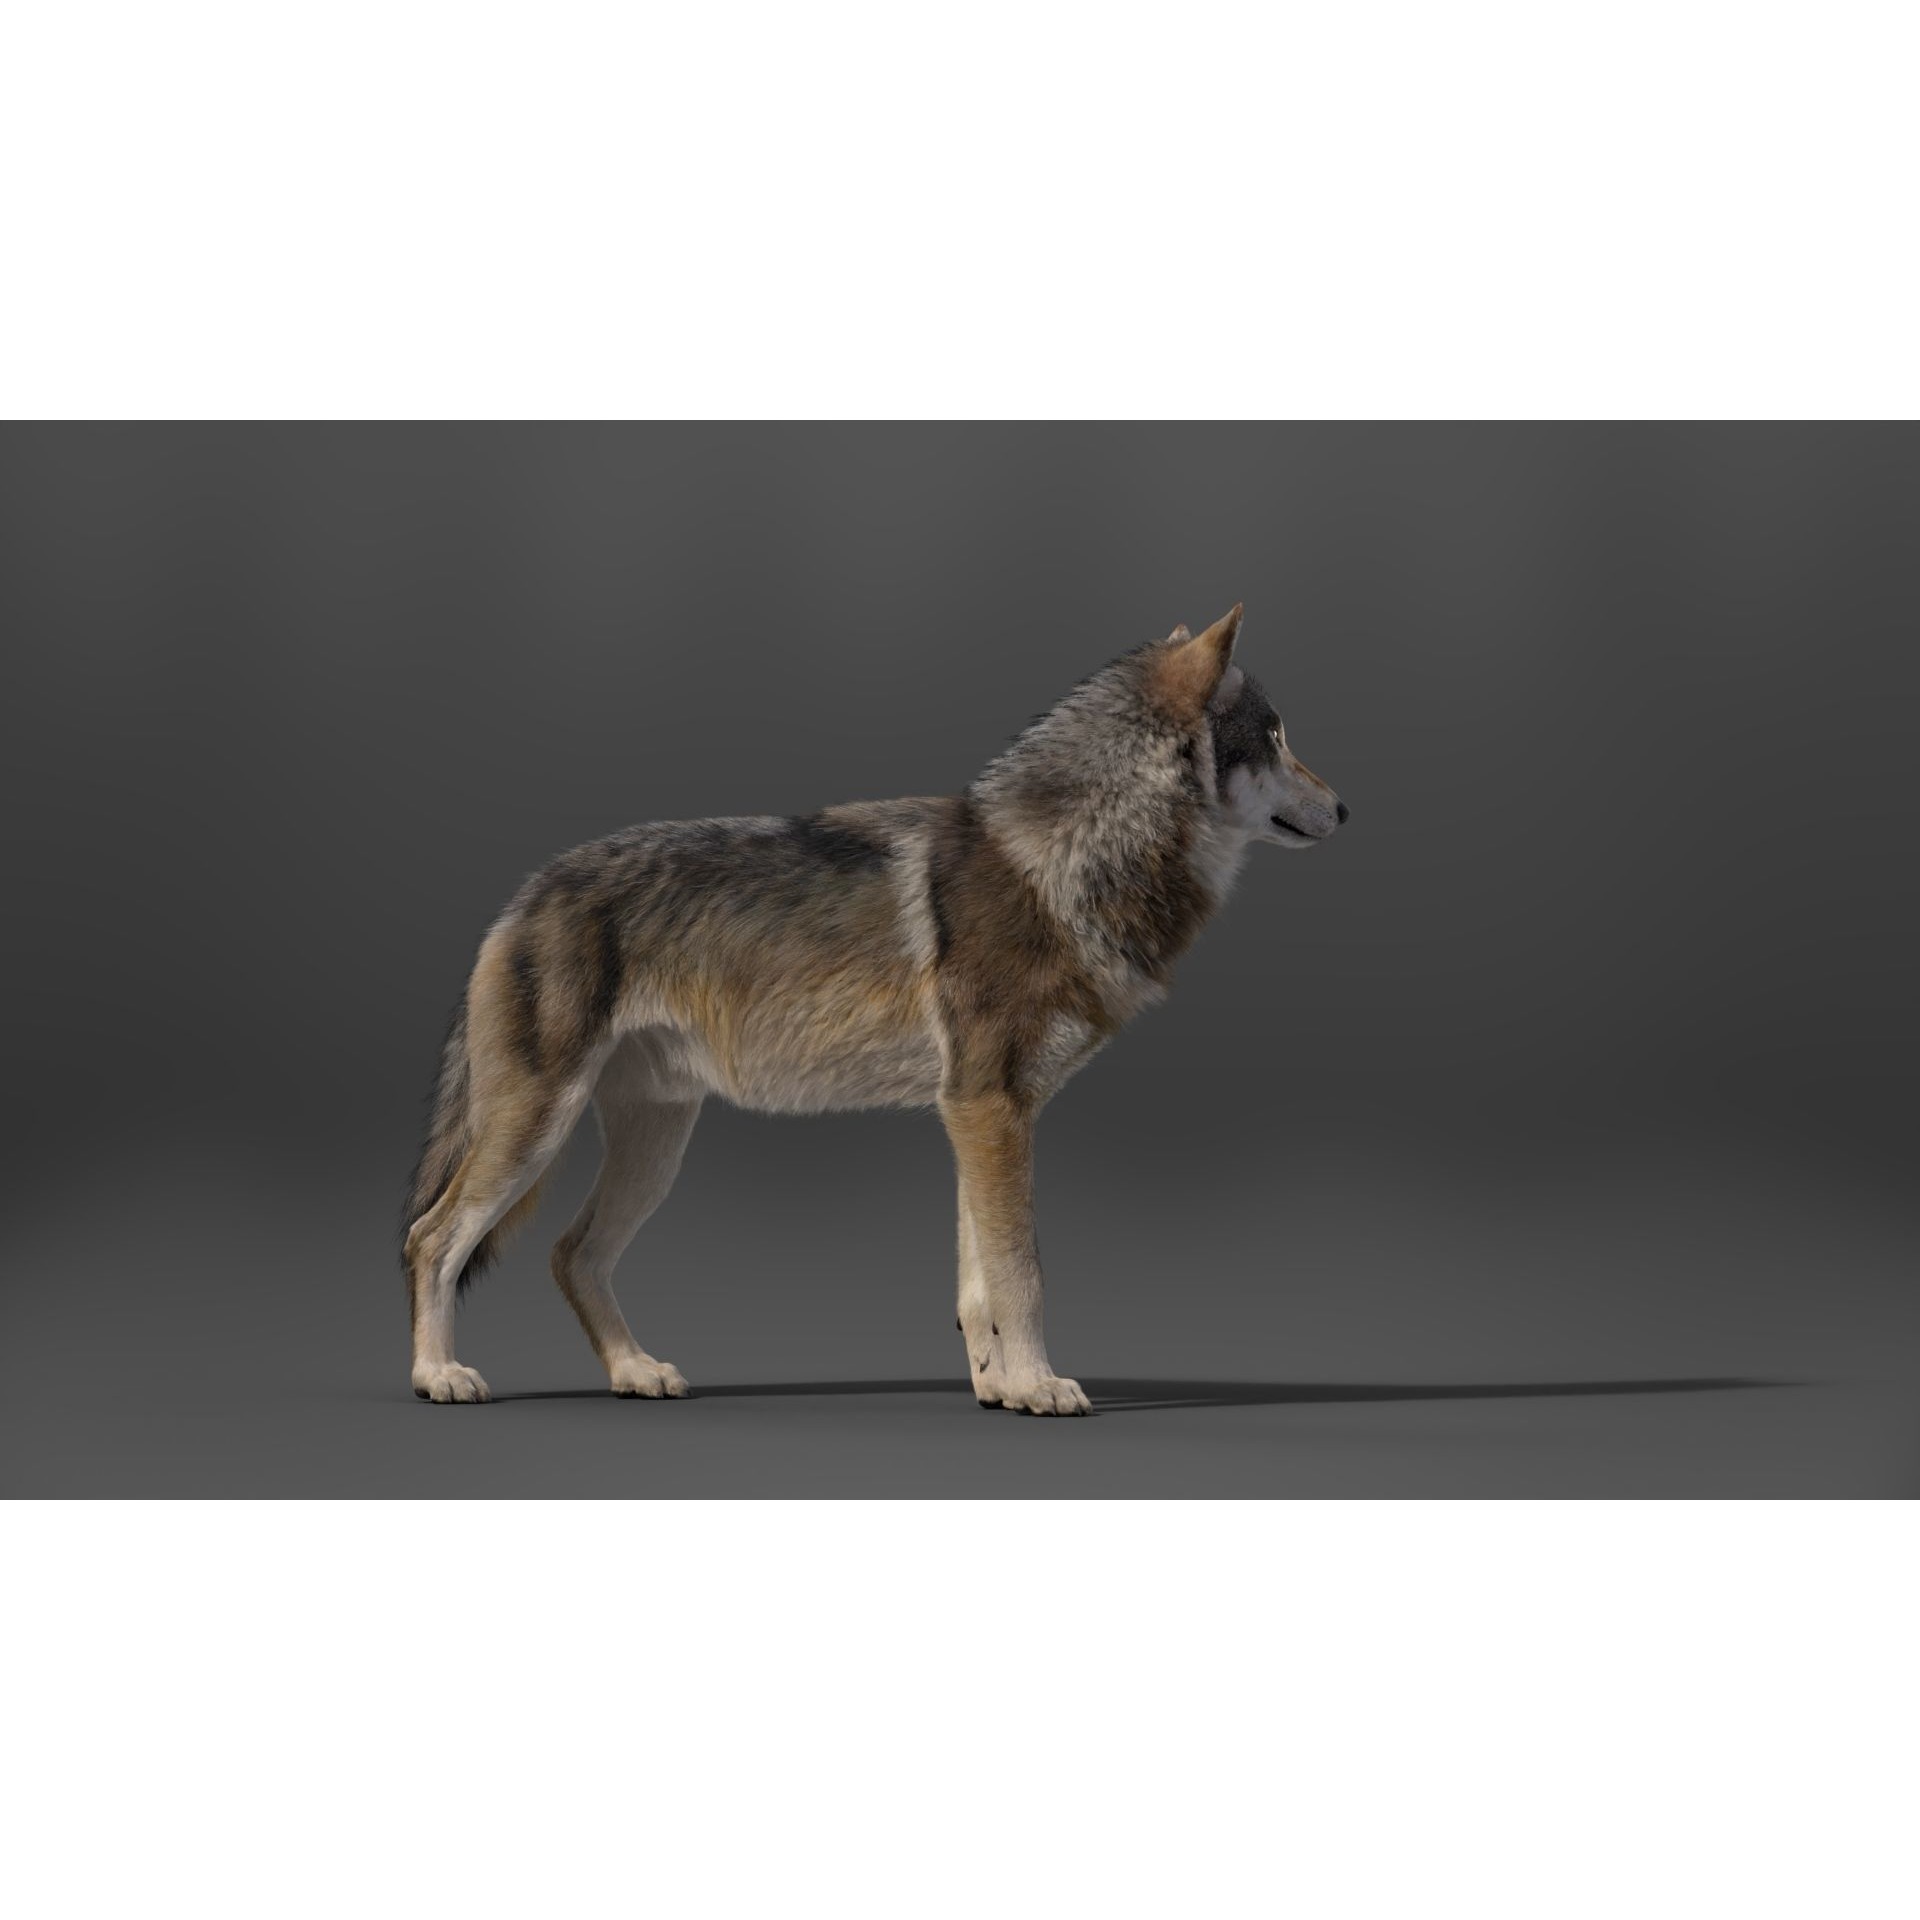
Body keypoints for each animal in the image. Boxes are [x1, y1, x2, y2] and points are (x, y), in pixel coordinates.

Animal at [401, 605, 1346, 1413]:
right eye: (1275, 737)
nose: (1346, 807)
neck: (1068, 859)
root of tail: (525, 893)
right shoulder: (988, 1110)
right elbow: (1022, 1274)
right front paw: (1042, 1387)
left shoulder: (977, 1113)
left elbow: (980, 1284)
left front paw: (1002, 1389)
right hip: (538, 1128)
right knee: (432, 1238)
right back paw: (438, 1375)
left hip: (653, 1148)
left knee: (571, 1253)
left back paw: (636, 1371)